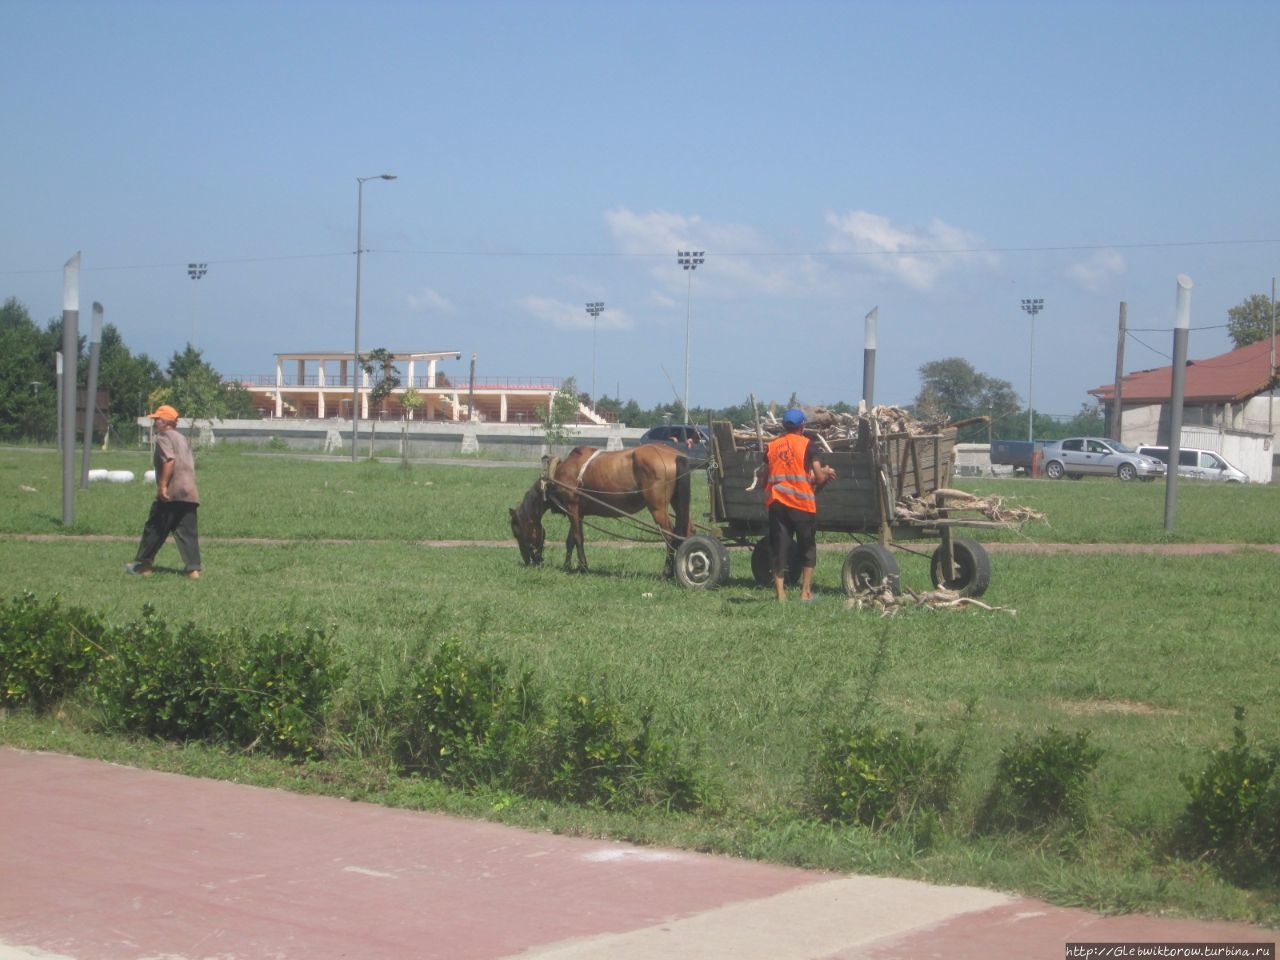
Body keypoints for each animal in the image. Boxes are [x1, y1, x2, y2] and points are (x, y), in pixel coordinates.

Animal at [506, 445, 691, 578]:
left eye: (516, 532)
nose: (529, 560)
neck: (556, 476)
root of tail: (676, 455)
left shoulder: (572, 507)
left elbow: (578, 538)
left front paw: (583, 567)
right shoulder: (578, 513)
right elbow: (570, 540)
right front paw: (567, 566)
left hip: (657, 507)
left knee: (670, 536)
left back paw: (667, 571)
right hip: (677, 504)